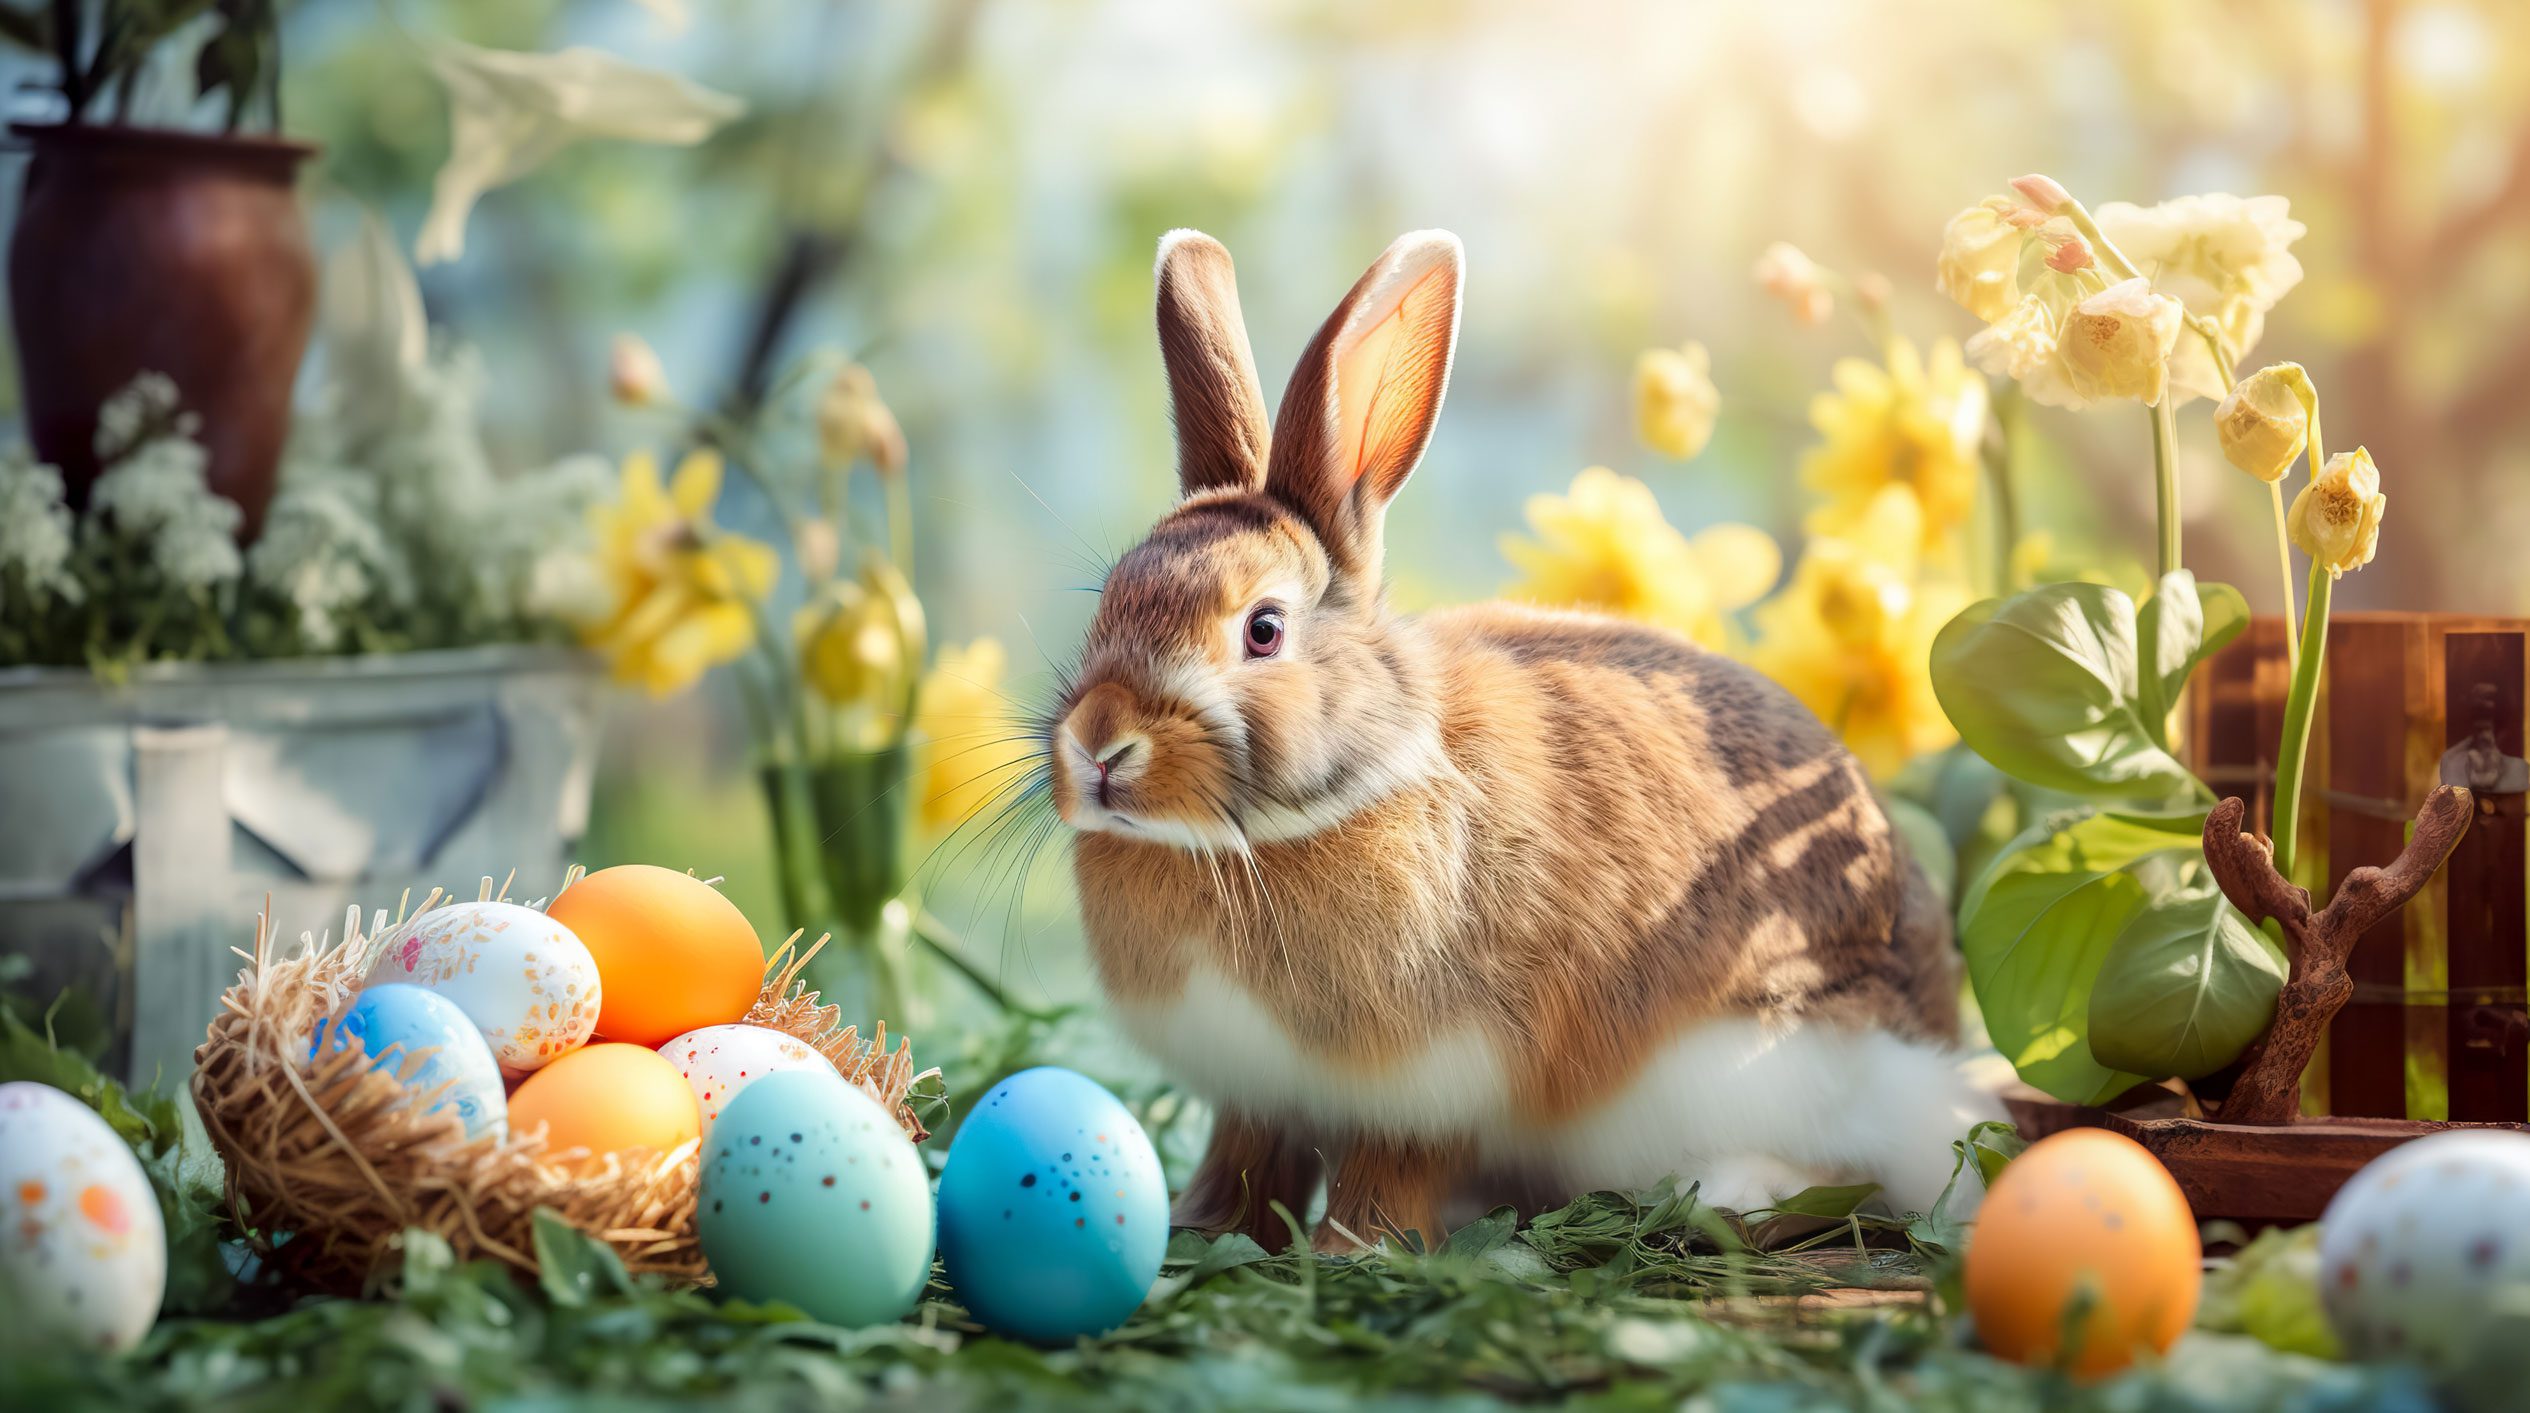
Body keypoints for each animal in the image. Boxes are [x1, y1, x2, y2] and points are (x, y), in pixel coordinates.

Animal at [1047, 227, 1999, 1254]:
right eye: (1111, 598)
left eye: (1263, 629)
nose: (1100, 747)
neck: (1265, 834)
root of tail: (1934, 1041)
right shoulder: (1256, 1092)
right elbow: (1249, 1157)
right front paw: (1202, 1226)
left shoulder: (1436, 1082)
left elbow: (1392, 1170)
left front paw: (1355, 1249)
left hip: (1764, 1062)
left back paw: (1729, 1194)